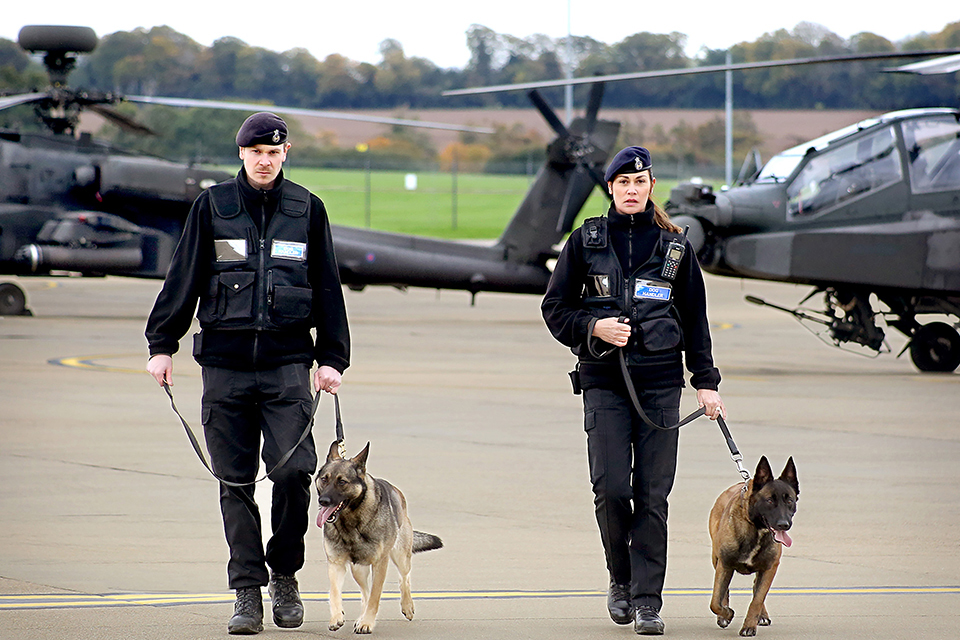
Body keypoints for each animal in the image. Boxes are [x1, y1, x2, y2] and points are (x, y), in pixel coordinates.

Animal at [318, 442, 446, 632]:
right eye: (324, 479)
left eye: (342, 482)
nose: (323, 501)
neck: (351, 522)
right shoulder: (336, 564)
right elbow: (335, 592)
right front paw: (336, 618)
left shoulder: (380, 564)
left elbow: (375, 596)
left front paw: (367, 623)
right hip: (358, 569)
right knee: (365, 592)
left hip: (400, 556)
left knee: (404, 579)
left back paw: (407, 606)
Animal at [708, 456, 800, 636]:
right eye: (770, 500)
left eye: (789, 501)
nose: (784, 525)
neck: (756, 530)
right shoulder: (724, 565)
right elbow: (715, 601)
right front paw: (726, 613)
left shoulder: (769, 568)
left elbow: (757, 599)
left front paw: (749, 625)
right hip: (716, 560)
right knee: (725, 592)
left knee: (757, 588)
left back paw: (761, 615)